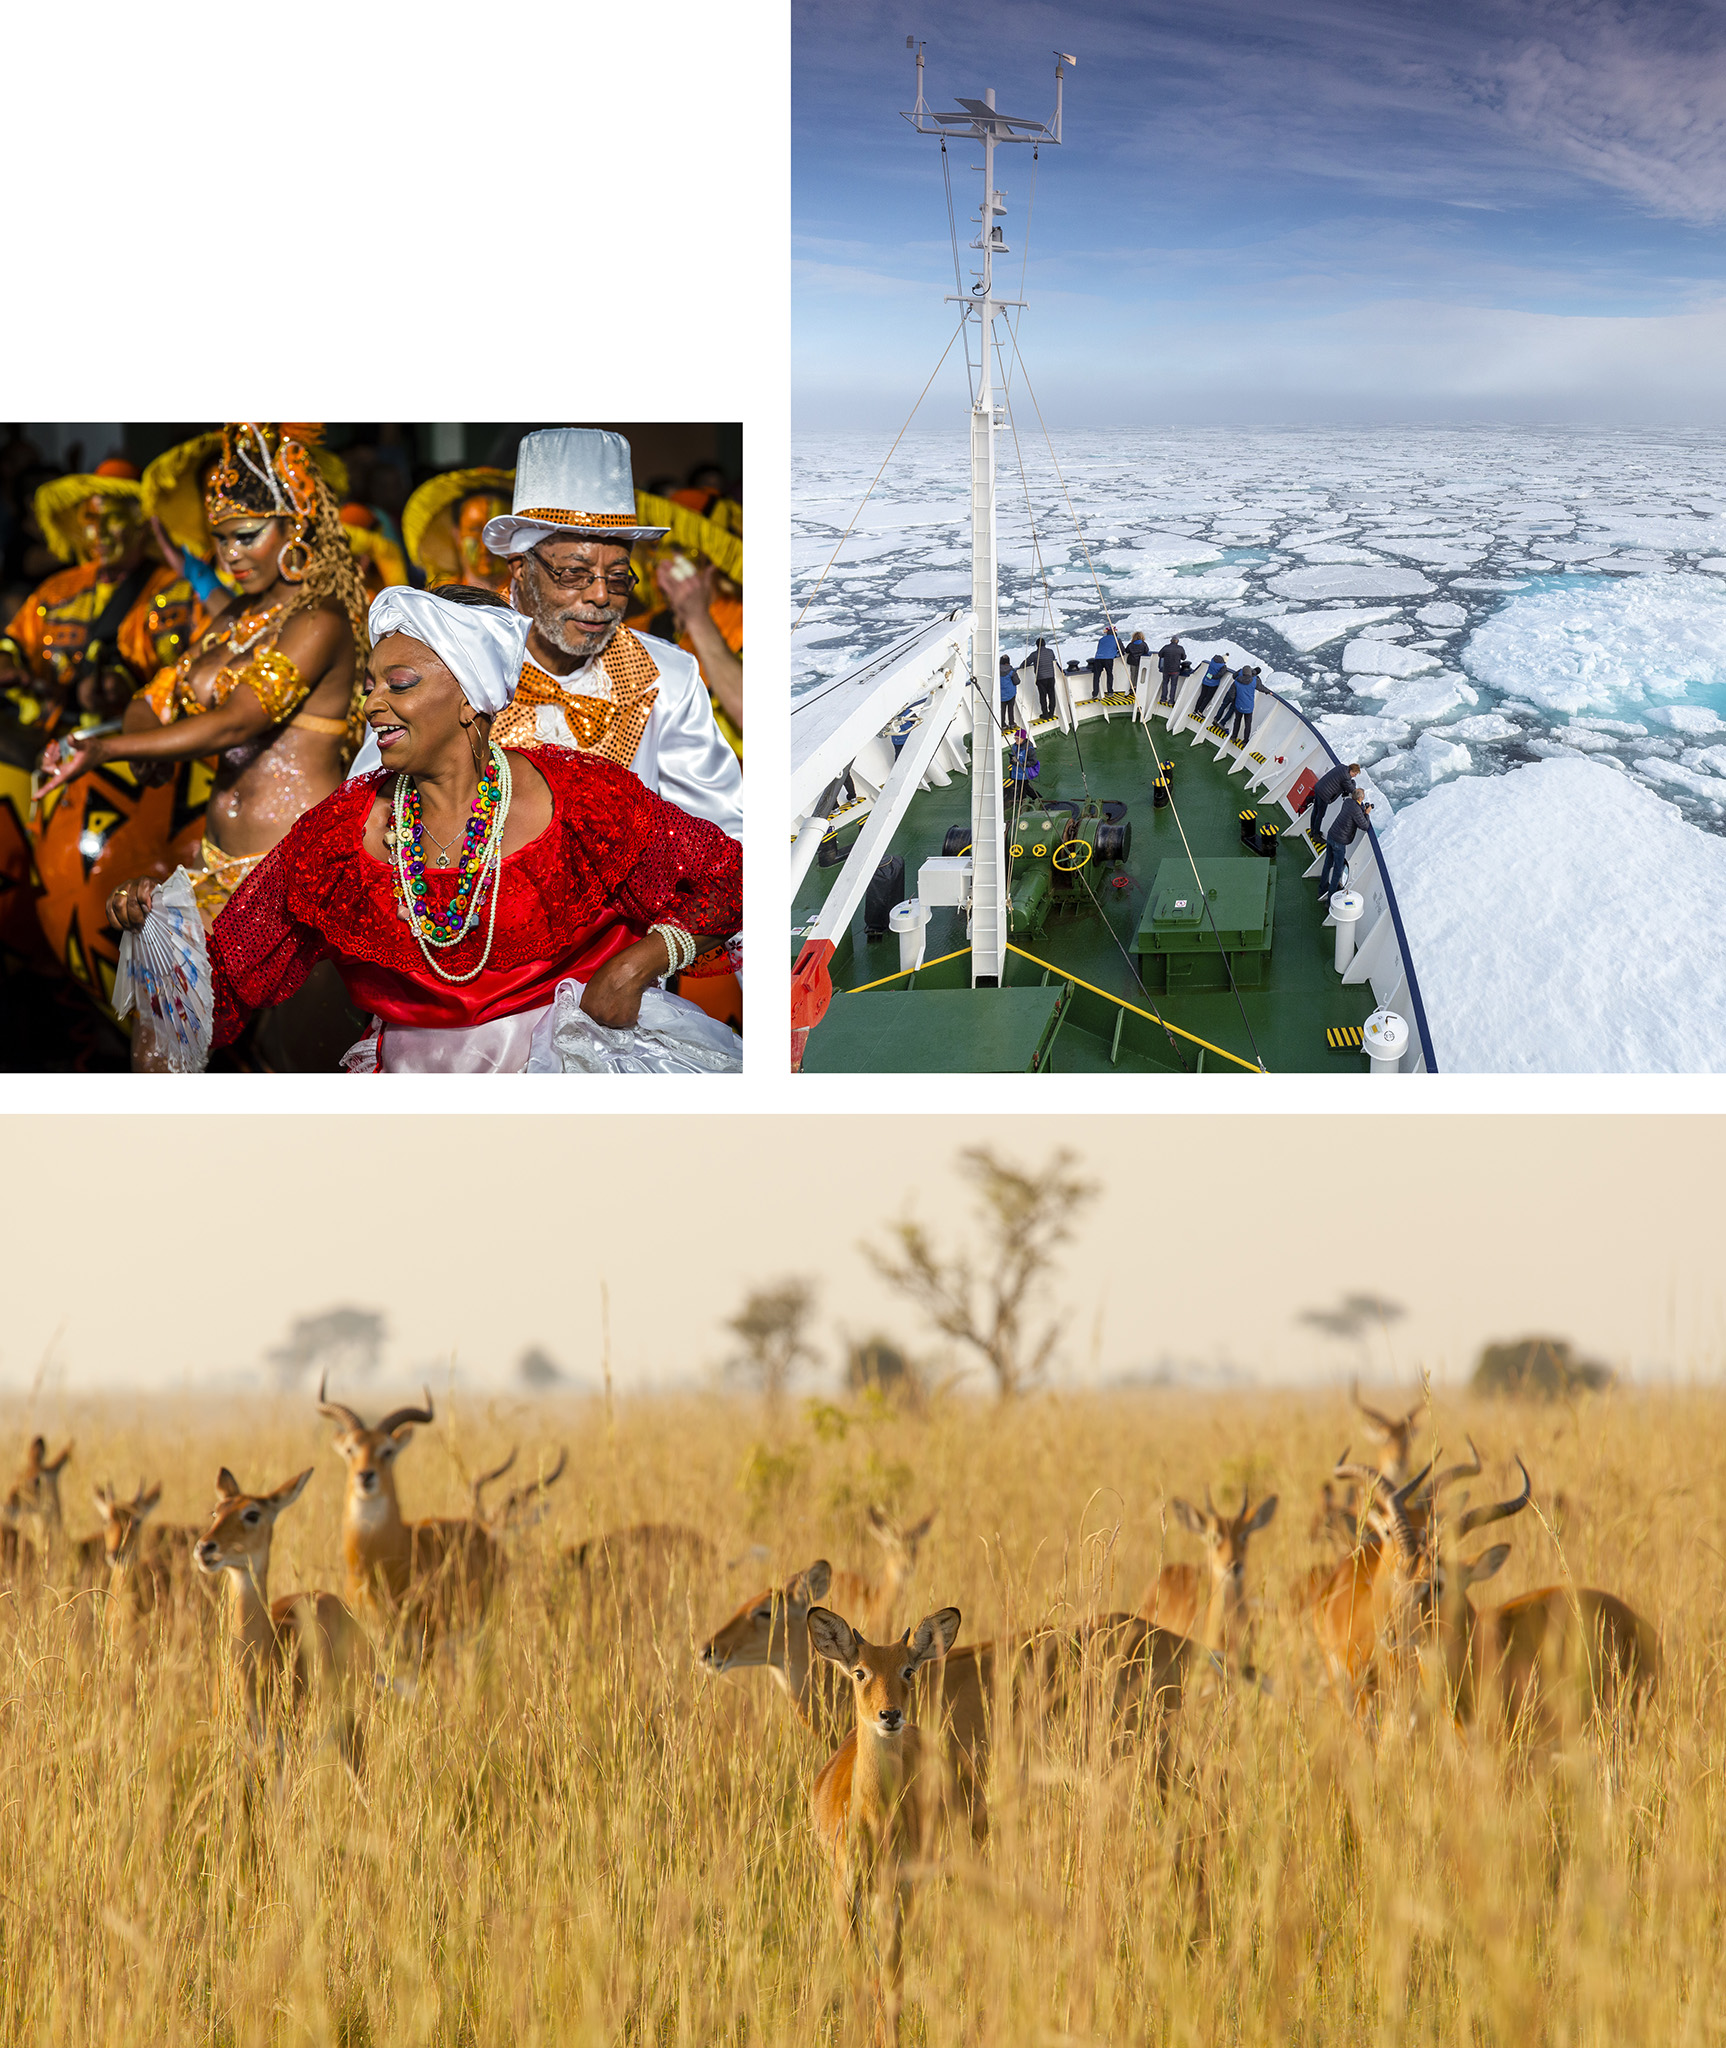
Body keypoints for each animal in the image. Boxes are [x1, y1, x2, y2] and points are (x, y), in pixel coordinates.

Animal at [806, 1605, 966, 2039]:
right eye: (860, 1671)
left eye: (908, 1669)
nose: (889, 1714)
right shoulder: (842, 1892)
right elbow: (859, 1979)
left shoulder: (901, 1891)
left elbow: (890, 1981)